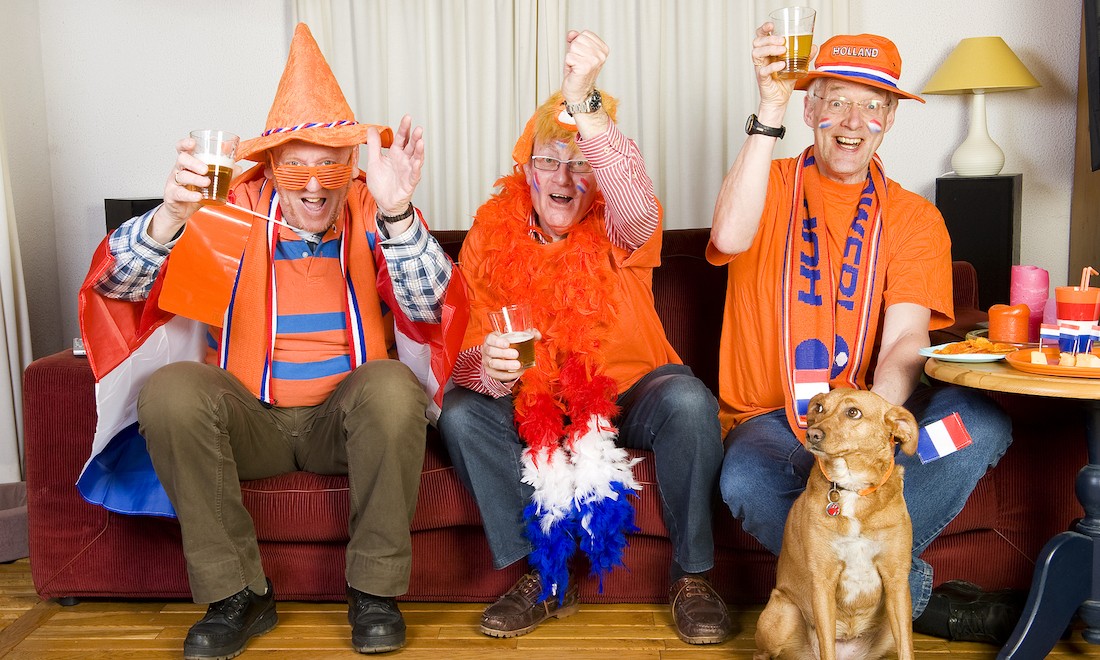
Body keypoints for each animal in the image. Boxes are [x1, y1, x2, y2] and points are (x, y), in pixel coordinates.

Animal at [756, 387, 919, 660]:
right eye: (820, 407)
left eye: (853, 412)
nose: (812, 433)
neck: (851, 487)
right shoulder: (823, 582)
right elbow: (827, 645)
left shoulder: (896, 581)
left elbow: (906, 648)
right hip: (784, 610)